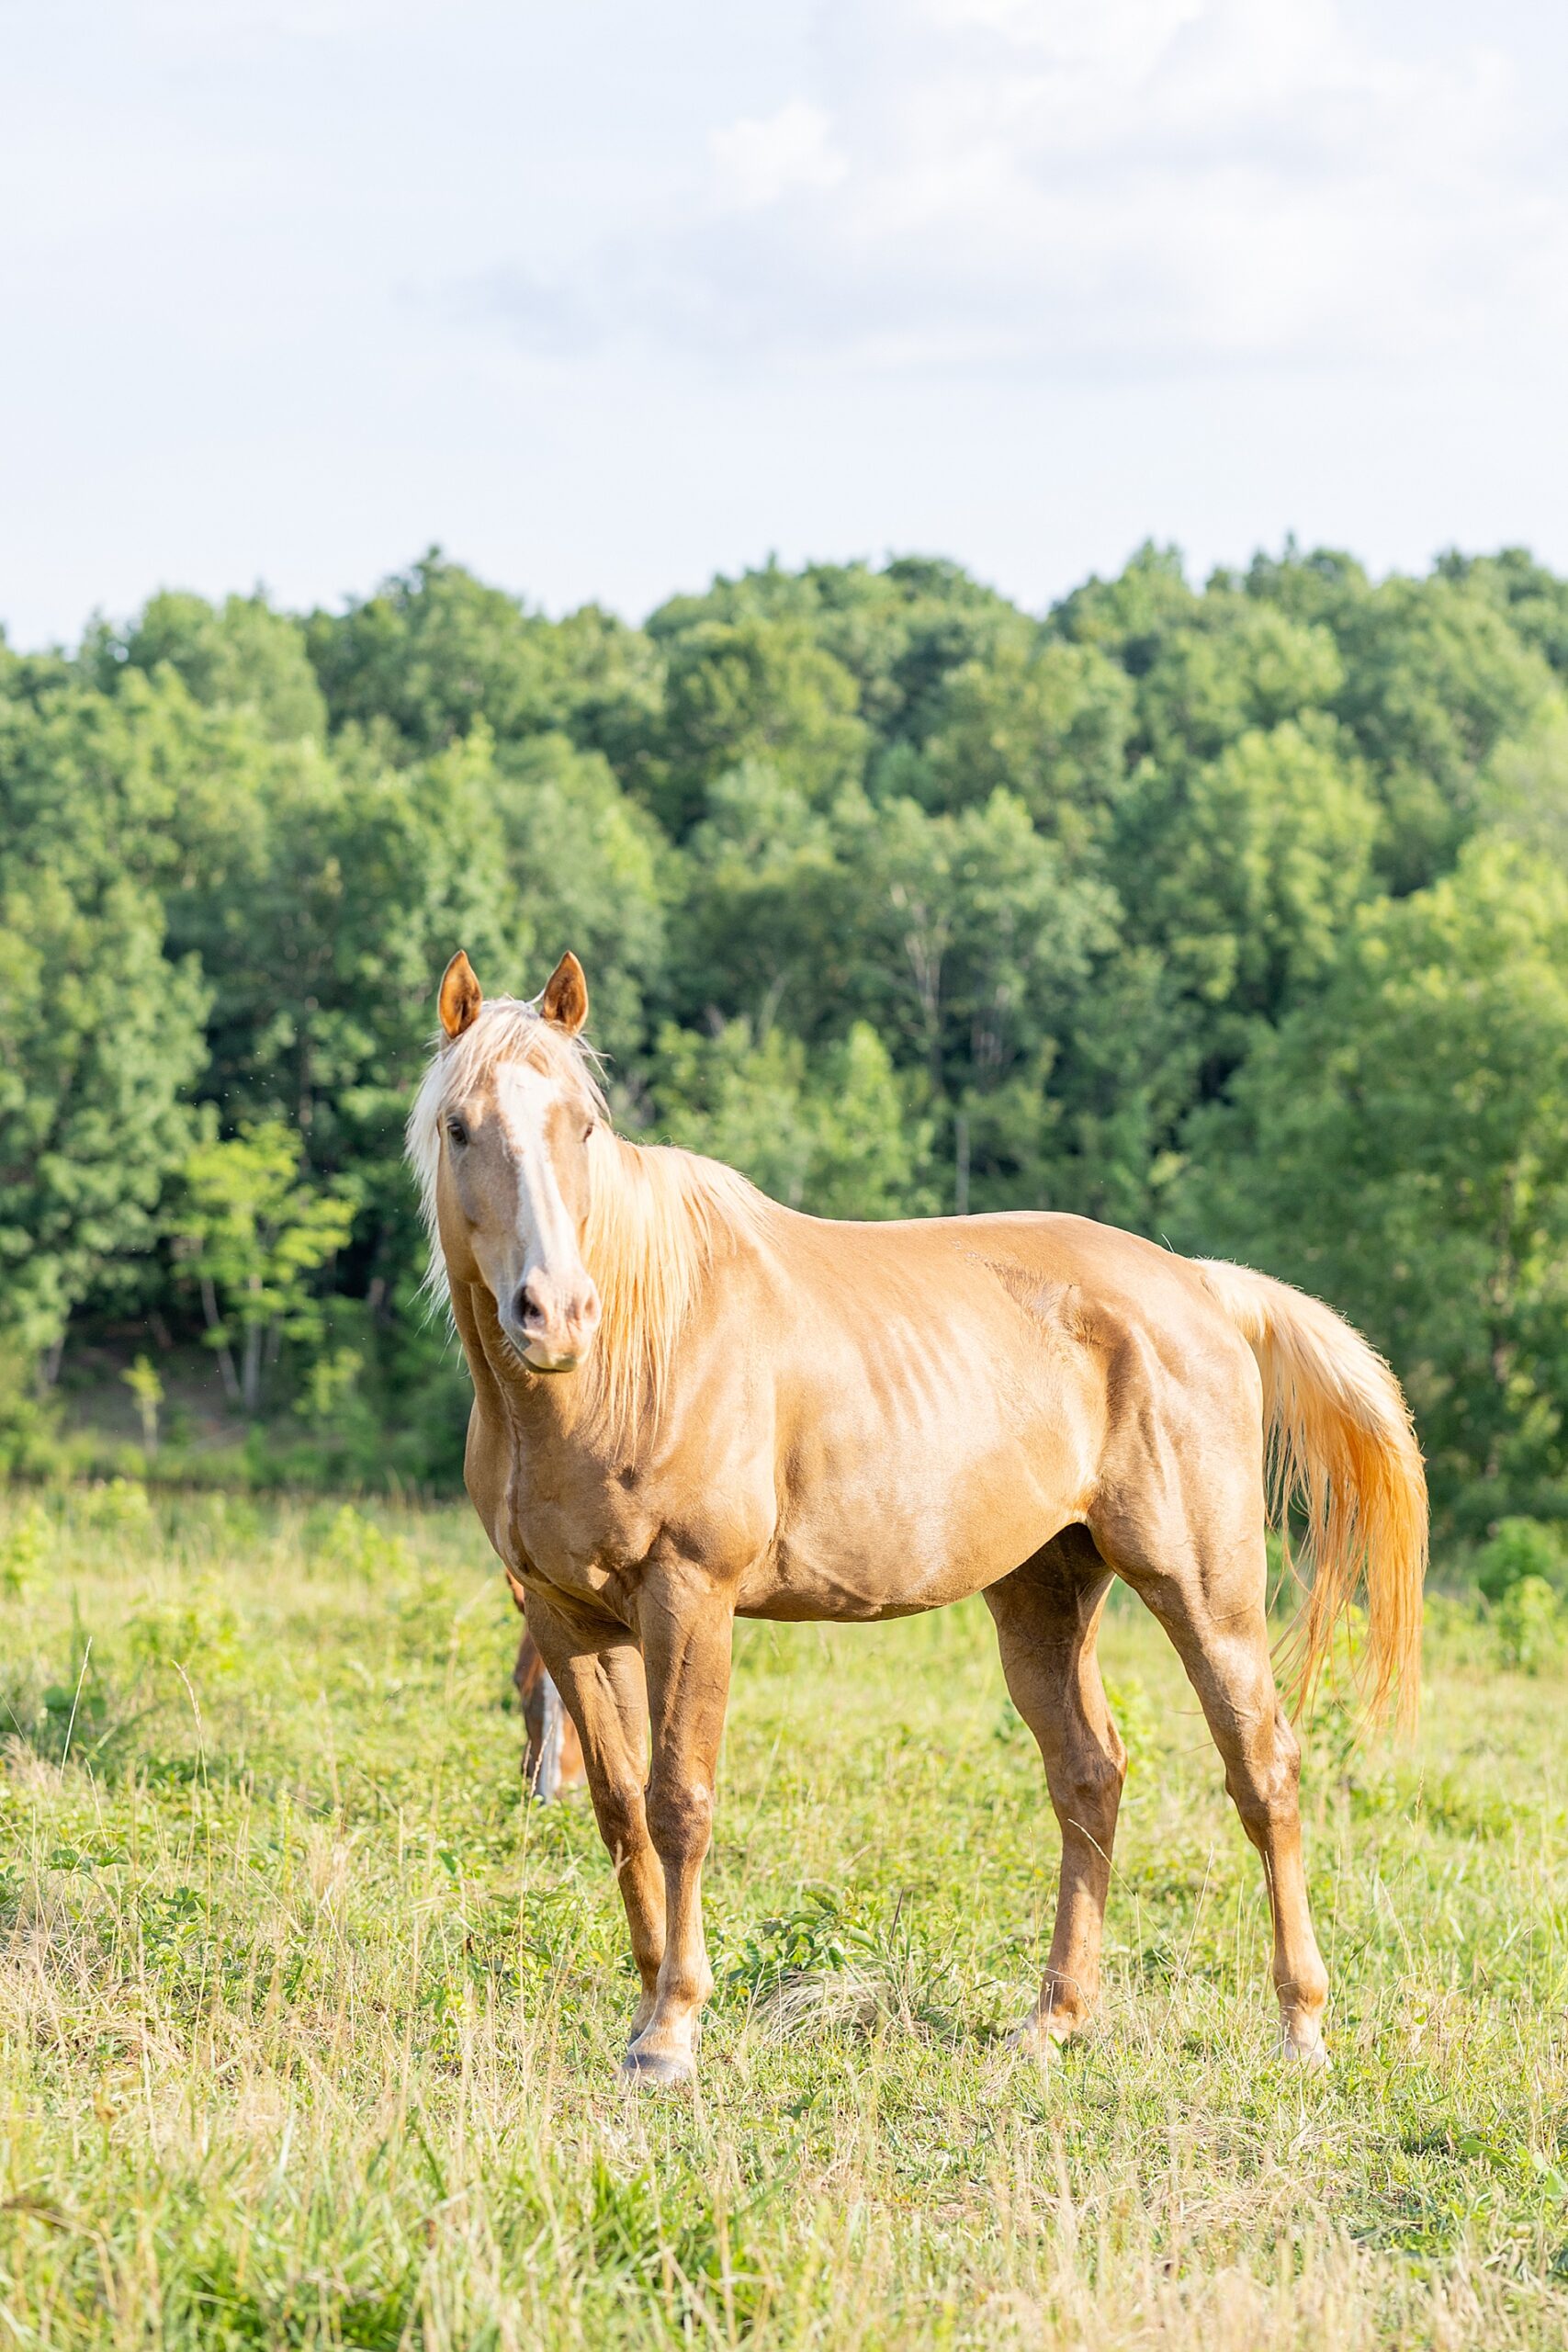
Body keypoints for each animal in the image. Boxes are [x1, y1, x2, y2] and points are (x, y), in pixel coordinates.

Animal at [408, 947, 1426, 2087]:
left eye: (583, 1125)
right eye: (461, 1127)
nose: (553, 1313)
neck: (632, 1350)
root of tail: (1199, 1285)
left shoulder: (689, 1599)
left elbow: (680, 1800)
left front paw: (672, 2028)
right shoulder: (565, 1617)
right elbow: (622, 1807)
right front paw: (642, 2005)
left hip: (1204, 1591)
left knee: (1263, 1773)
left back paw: (1300, 2024)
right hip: (1043, 1593)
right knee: (1089, 1778)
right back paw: (1055, 2017)